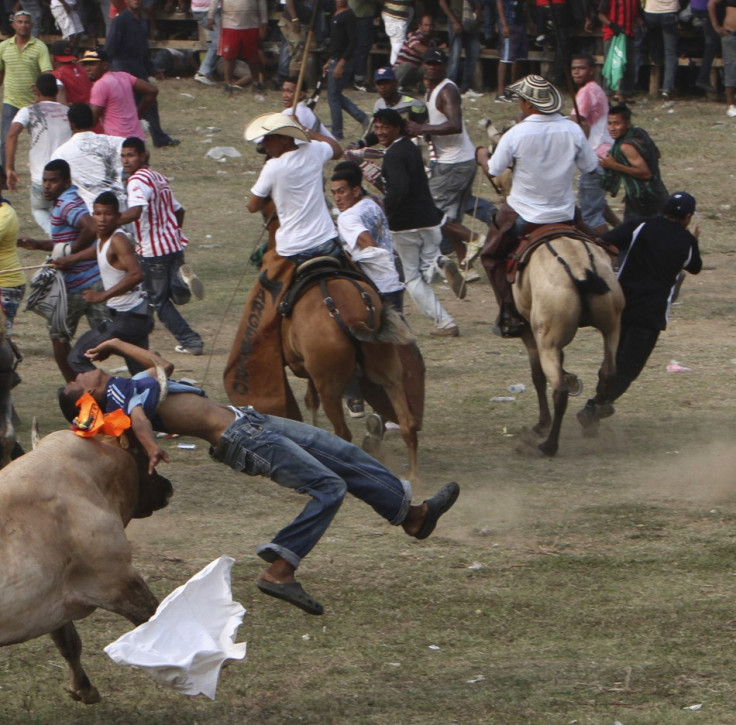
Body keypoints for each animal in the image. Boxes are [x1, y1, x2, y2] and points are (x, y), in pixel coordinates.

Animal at [0, 430, 171, 700]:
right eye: (145, 455)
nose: (167, 486)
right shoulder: (119, 579)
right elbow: (156, 618)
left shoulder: (55, 598)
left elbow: (69, 642)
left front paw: (83, 688)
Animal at [516, 235, 624, 456]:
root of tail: (580, 271)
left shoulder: (529, 333)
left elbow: (537, 376)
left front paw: (542, 424)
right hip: (612, 327)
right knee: (608, 370)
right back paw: (598, 411)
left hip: (547, 343)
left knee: (559, 391)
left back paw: (549, 445)